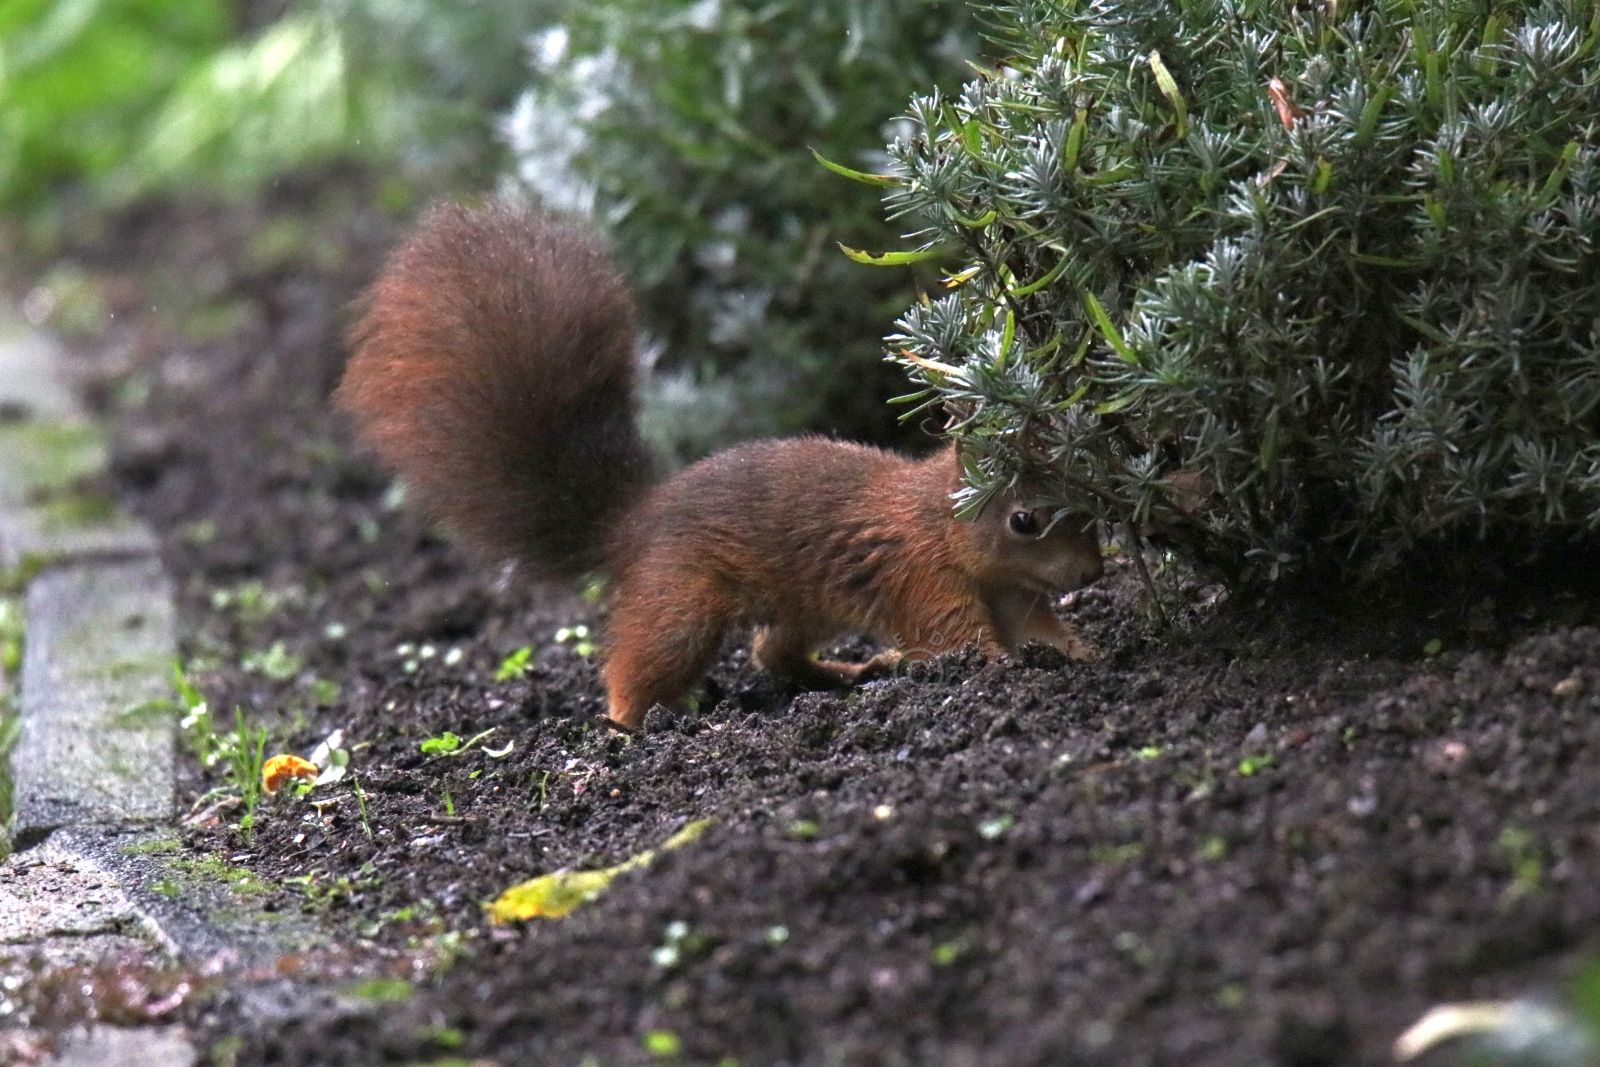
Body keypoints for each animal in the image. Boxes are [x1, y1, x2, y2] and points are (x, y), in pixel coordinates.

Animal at [340, 199, 1100, 735]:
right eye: (1024, 520)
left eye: (1081, 490)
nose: (1093, 571)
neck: (944, 527)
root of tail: (633, 525)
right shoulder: (924, 580)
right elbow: (958, 643)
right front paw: (1006, 672)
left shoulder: (1017, 593)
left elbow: (1044, 630)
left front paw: (1084, 657)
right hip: (683, 599)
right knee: (641, 667)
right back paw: (640, 725)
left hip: (801, 600)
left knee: (773, 653)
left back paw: (848, 670)